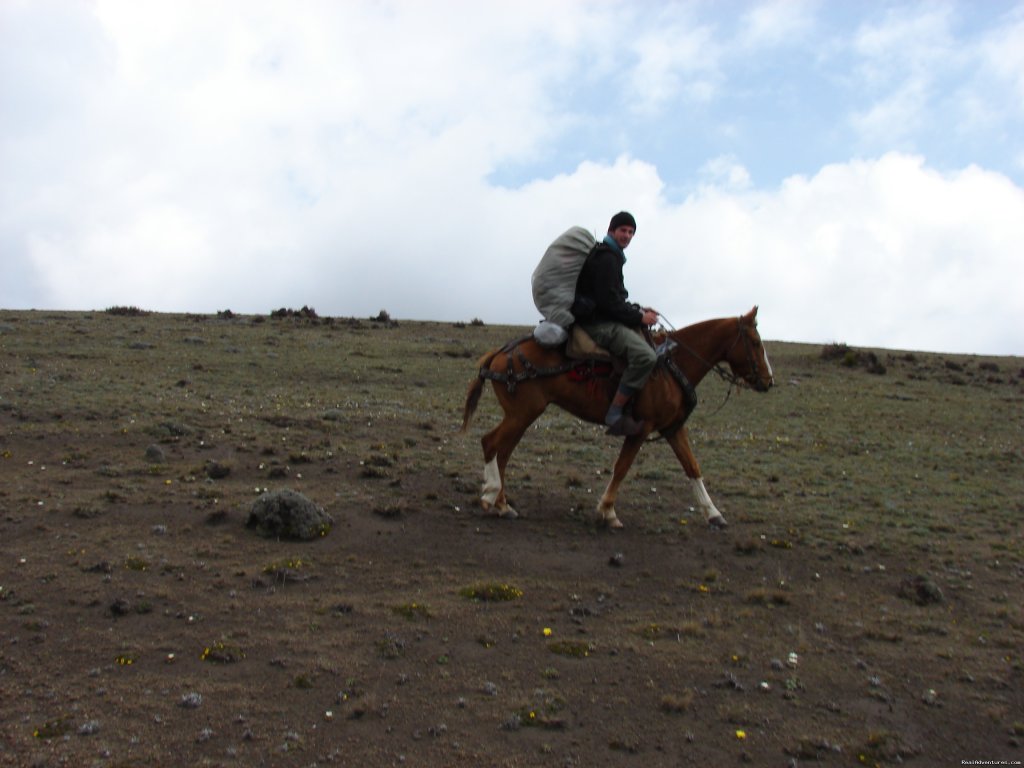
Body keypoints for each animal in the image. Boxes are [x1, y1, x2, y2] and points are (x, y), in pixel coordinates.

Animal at [460, 307, 770, 528]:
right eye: (755, 342)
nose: (769, 381)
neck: (671, 366)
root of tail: (500, 353)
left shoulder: (672, 428)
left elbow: (692, 466)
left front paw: (714, 514)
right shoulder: (640, 429)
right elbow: (621, 468)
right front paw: (607, 512)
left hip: (521, 416)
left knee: (501, 452)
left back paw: (502, 504)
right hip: (522, 414)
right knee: (491, 444)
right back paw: (492, 497)